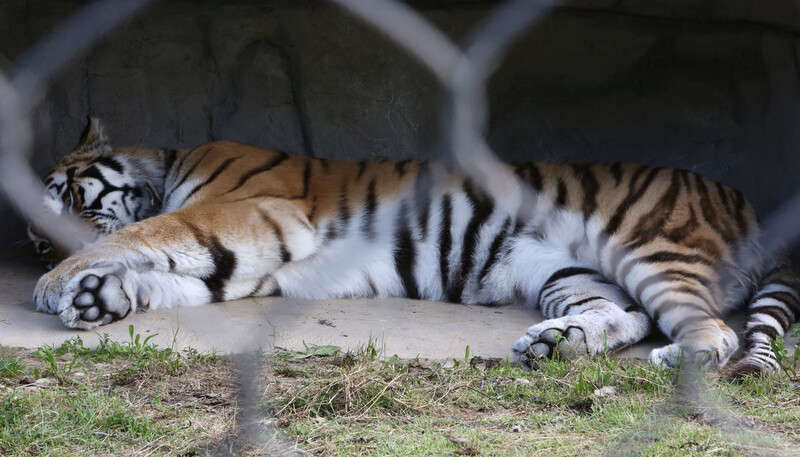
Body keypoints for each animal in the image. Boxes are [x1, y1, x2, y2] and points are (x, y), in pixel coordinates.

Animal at [29, 116, 800, 374]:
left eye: (68, 198)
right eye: (32, 241)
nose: (41, 252)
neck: (166, 167)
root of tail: (753, 209)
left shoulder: (254, 211)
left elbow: (153, 232)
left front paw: (62, 283)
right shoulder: (254, 260)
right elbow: (174, 274)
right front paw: (97, 296)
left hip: (650, 247)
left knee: (712, 329)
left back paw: (683, 359)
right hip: (571, 269)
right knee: (627, 315)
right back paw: (557, 345)